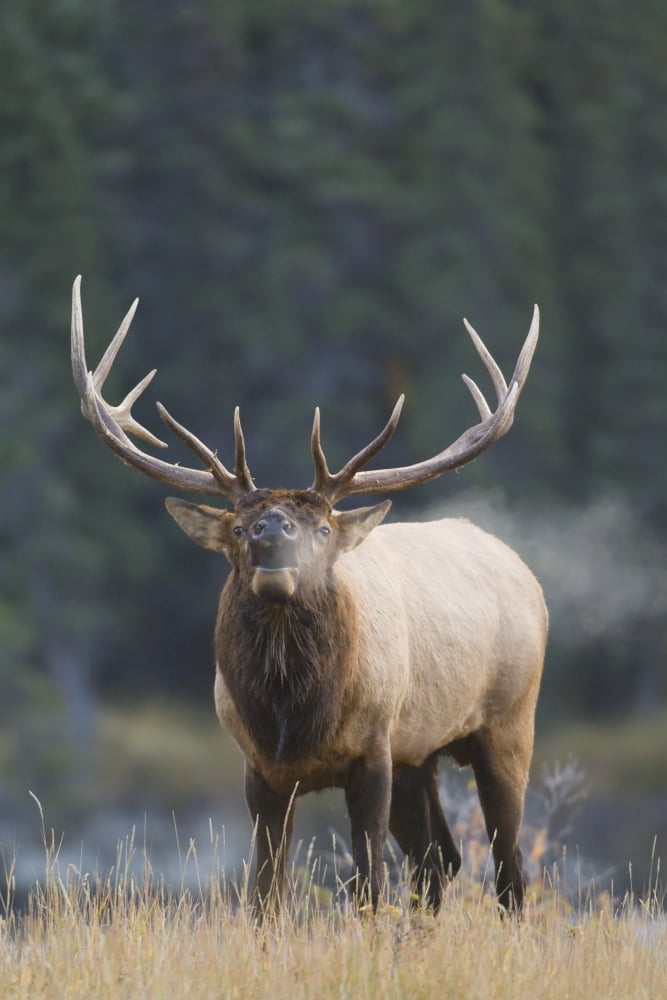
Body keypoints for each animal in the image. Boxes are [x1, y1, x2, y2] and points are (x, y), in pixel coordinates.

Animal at [71, 275, 547, 916]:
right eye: (240, 528)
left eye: (322, 529)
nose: (273, 533)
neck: (292, 715)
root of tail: (525, 573)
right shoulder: (262, 769)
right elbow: (265, 893)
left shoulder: (374, 751)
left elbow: (368, 884)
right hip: (421, 753)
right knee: (439, 862)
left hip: (509, 721)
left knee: (508, 867)